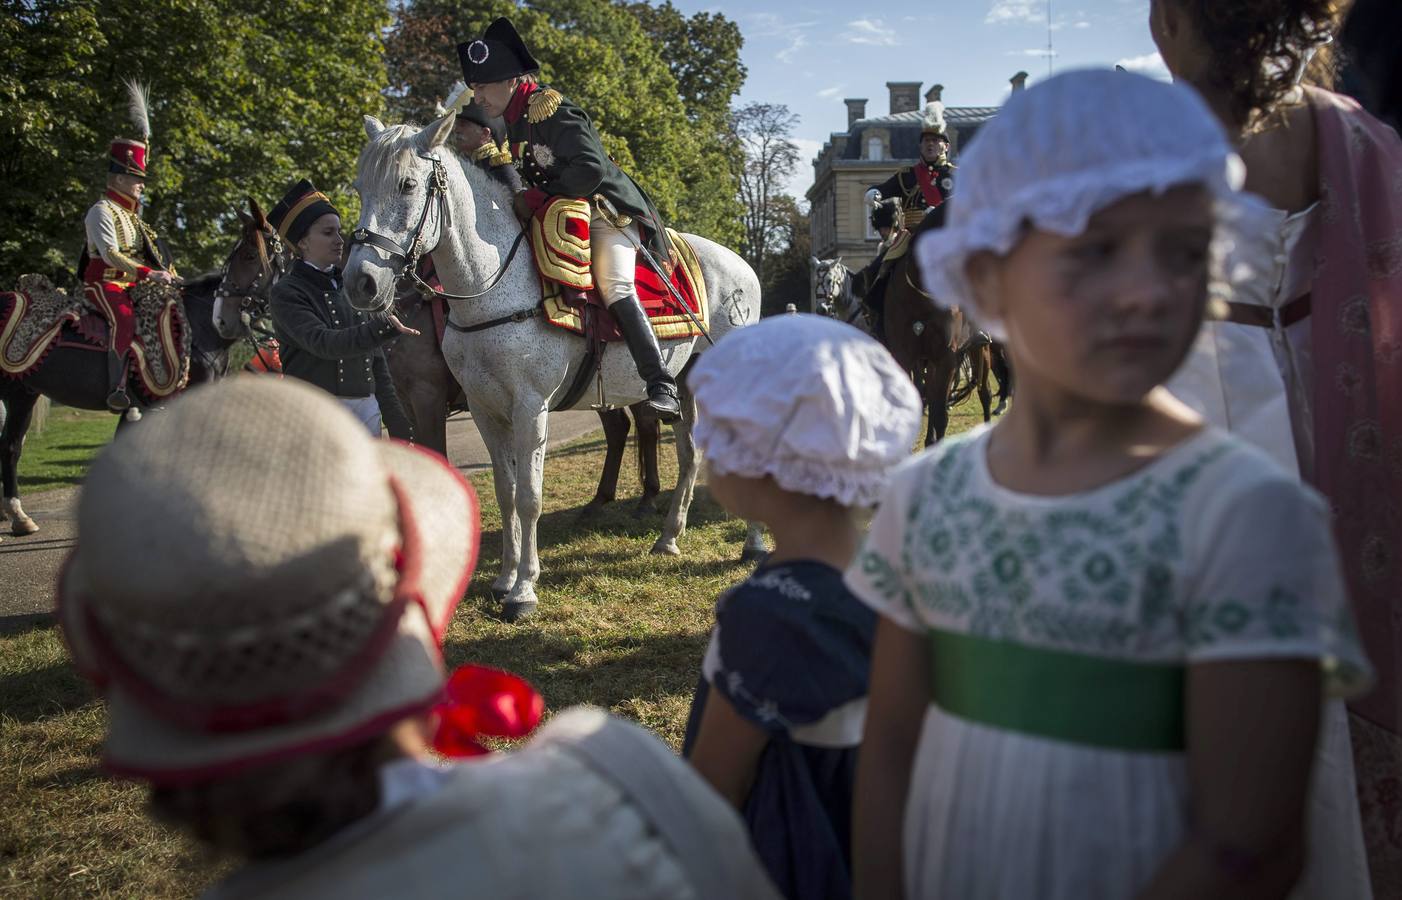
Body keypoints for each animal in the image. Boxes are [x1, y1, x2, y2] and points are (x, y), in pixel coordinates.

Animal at [347, 112, 768, 616]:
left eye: (408, 184)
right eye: (358, 187)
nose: (360, 282)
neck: (492, 288)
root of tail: (741, 266)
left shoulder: (527, 406)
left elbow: (529, 496)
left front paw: (523, 590)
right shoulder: (484, 409)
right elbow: (505, 492)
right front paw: (503, 579)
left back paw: (753, 544)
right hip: (686, 381)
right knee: (689, 452)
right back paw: (668, 537)